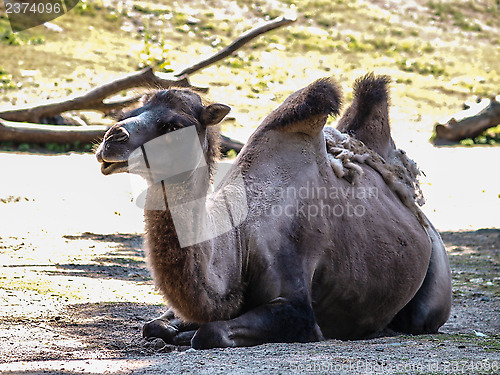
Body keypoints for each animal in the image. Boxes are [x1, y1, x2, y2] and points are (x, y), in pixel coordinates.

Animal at [95, 73, 452, 350]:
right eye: (130, 110)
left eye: (172, 126)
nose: (112, 138)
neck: (238, 244)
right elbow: (154, 324)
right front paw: (173, 331)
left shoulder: (297, 306)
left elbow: (209, 333)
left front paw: (189, 335)